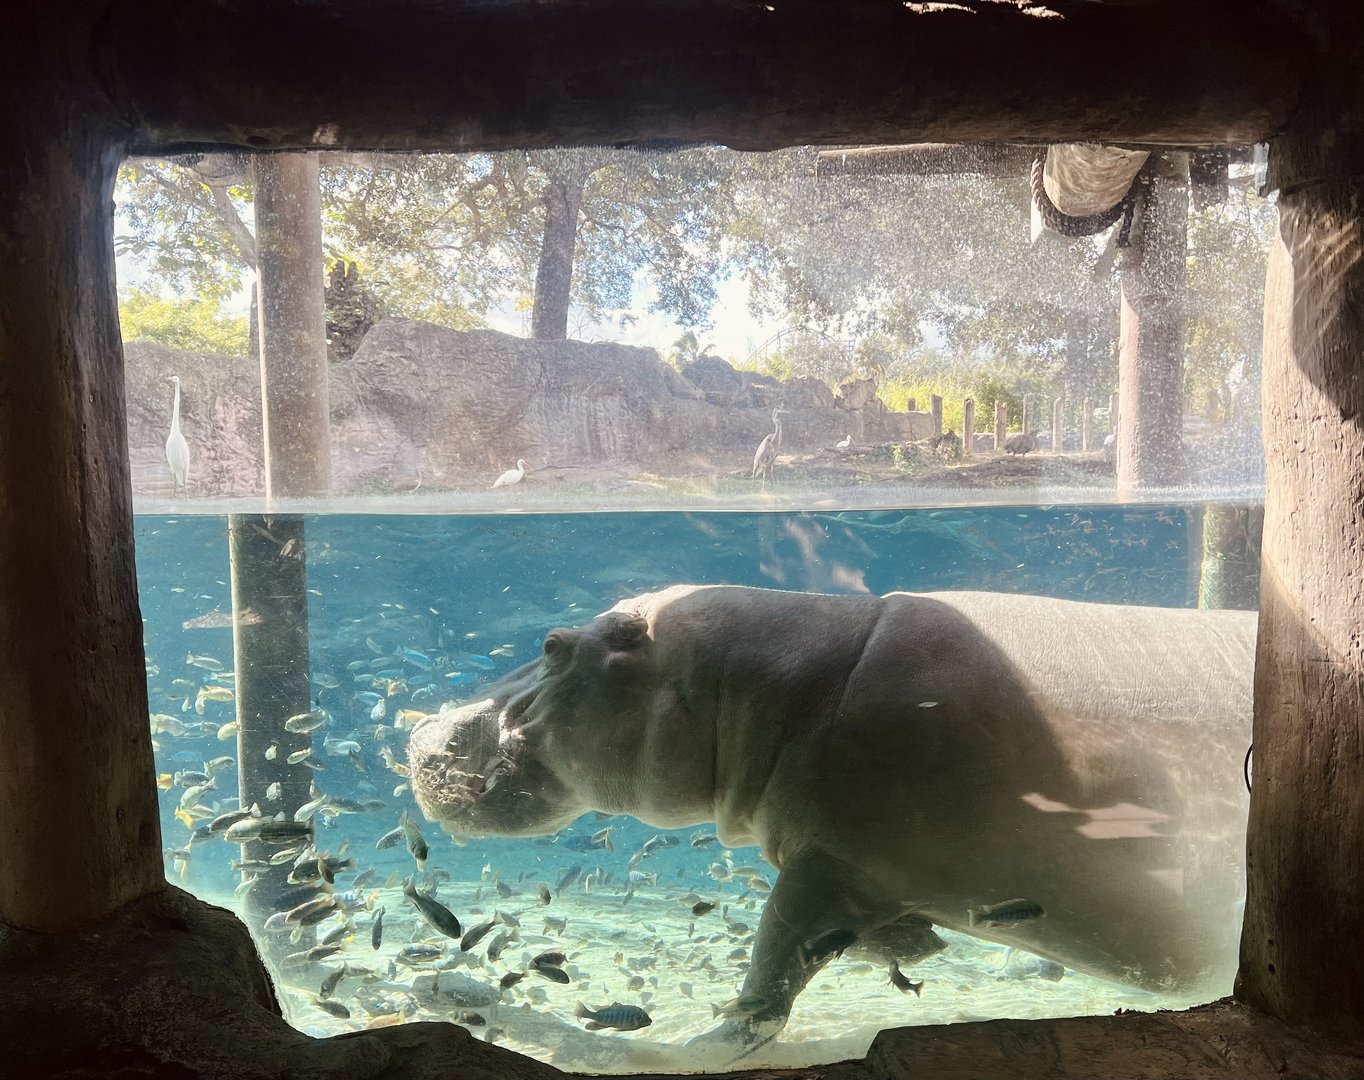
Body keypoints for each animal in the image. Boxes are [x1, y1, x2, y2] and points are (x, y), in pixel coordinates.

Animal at [409, 585, 1255, 1044]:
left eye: (554, 645)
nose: (420, 730)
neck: (764, 679)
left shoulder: (826, 867)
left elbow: (769, 969)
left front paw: (704, 1034)